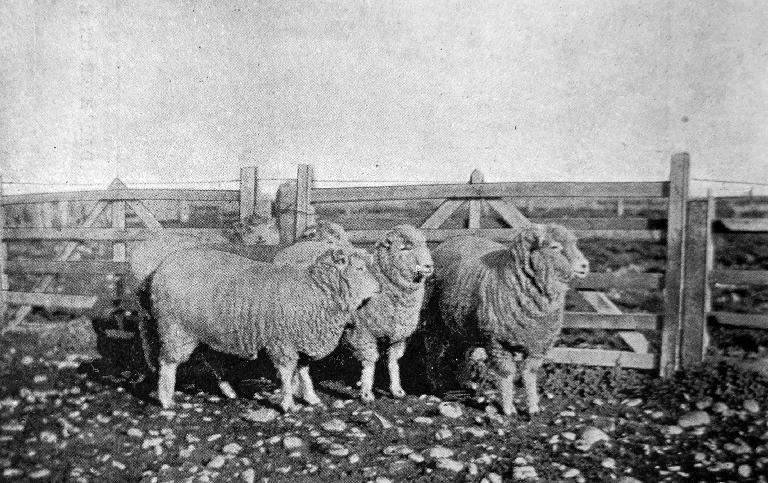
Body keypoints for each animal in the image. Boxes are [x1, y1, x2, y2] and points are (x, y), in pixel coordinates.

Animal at [146, 246, 380, 412]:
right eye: (359, 268)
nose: (379, 288)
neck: (314, 290)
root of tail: (161, 268)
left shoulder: (303, 339)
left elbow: (304, 372)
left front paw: (311, 398)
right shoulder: (282, 341)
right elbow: (287, 373)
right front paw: (288, 403)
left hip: (208, 333)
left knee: (213, 359)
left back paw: (228, 391)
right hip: (176, 329)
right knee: (167, 363)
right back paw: (166, 399)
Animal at [432, 224, 588, 416]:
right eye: (554, 247)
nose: (584, 265)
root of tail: (455, 238)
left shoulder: (538, 344)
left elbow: (529, 373)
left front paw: (533, 407)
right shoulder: (497, 342)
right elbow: (507, 374)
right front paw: (508, 408)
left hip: (460, 326)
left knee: (460, 354)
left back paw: (464, 383)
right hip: (434, 322)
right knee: (433, 353)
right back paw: (437, 385)